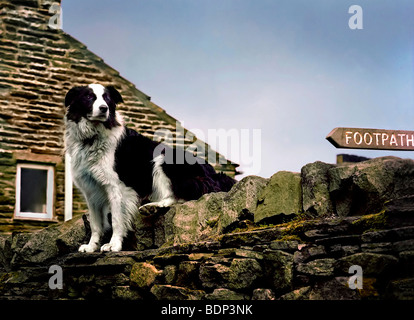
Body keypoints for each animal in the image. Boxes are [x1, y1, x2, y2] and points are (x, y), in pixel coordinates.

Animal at [63, 84, 234, 252]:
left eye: (107, 98)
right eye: (88, 97)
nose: (104, 108)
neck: (92, 137)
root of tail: (213, 173)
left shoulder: (117, 186)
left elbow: (117, 219)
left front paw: (114, 245)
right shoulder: (91, 190)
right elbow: (95, 224)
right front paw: (91, 246)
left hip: (163, 159)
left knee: (183, 196)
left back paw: (154, 206)